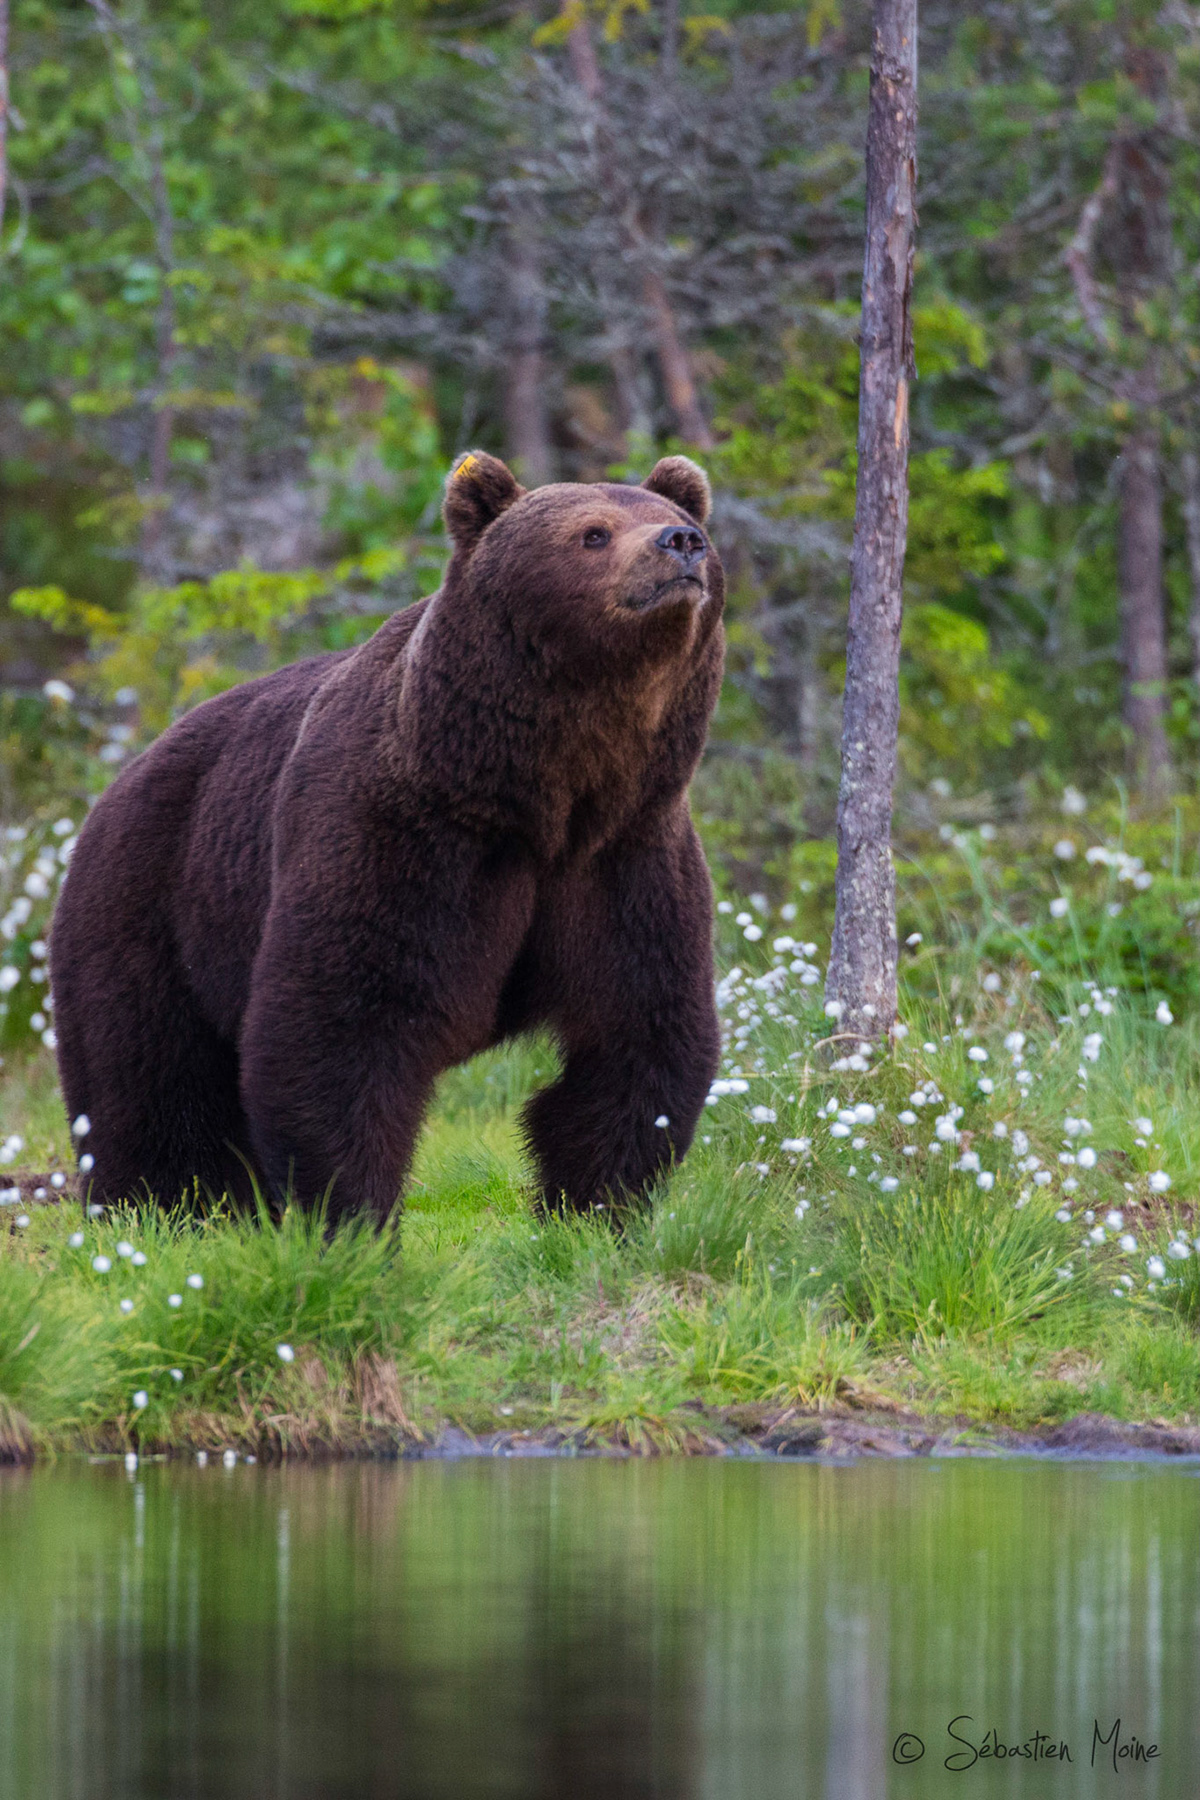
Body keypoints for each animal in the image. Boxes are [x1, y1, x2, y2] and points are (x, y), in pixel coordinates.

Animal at [49, 453, 723, 1224]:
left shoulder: (626, 853)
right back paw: (158, 1207)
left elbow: (640, 1033)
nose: (680, 543)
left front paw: (595, 1207)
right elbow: (344, 1027)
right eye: (593, 533)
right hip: (153, 906)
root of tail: (116, 783)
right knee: (149, 1080)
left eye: (688, 523)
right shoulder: (402, 833)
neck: (543, 793)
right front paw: (353, 1217)